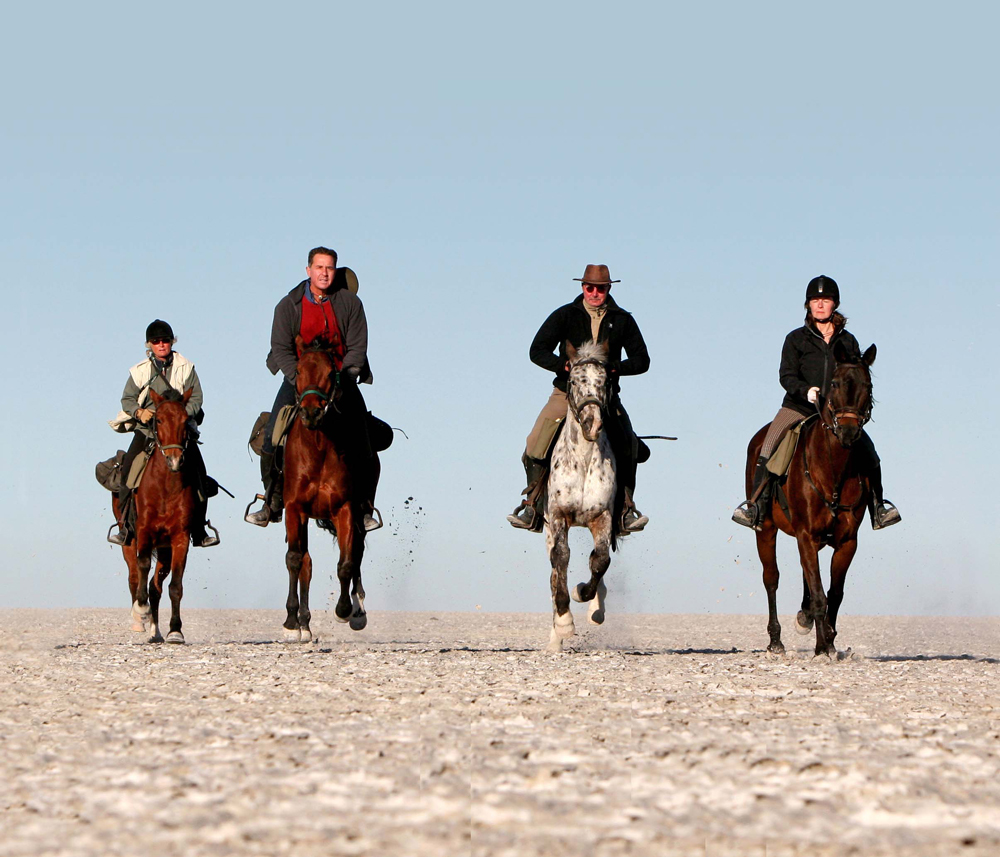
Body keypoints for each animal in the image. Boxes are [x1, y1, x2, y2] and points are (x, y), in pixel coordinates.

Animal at [112, 388, 196, 640]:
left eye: (186, 420)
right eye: (158, 420)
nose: (175, 459)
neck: (166, 486)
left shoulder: (179, 538)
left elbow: (175, 586)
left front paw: (175, 631)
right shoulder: (143, 531)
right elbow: (142, 565)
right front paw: (141, 609)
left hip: (164, 549)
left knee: (155, 586)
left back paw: (155, 631)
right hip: (128, 542)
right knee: (134, 576)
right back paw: (139, 617)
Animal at [280, 338, 370, 640]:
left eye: (331, 373)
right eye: (298, 370)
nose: (311, 412)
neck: (318, 446)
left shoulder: (345, 509)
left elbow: (346, 563)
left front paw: (344, 610)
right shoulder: (294, 509)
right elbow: (295, 560)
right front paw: (291, 623)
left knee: (357, 553)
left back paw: (357, 610)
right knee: (306, 563)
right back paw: (303, 623)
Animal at [748, 340, 880, 656]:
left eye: (868, 386)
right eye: (834, 383)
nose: (848, 431)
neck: (832, 468)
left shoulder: (846, 541)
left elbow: (834, 593)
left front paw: (828, 641)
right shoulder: (805, 534)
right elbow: (820, 594)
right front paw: (824, 647)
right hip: (766, 530)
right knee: (771, 579)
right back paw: (775, 641)